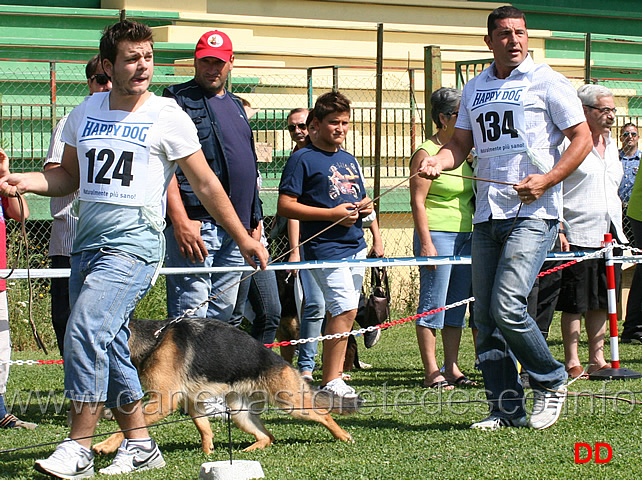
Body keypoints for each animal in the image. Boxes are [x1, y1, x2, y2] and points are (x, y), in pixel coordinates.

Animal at [92, 316, 356, 456]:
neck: (153, 341)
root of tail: (283, 363)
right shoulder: (192, 402)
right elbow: (204, 428)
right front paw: (208, 454)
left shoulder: (162, 402)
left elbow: (127, 427)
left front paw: (106, 445)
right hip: (240, 414)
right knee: (268, 436)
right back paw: (249, 451)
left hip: (292, 405)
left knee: (324, 415)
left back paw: (343, 436)